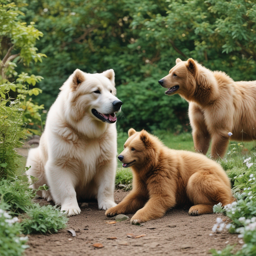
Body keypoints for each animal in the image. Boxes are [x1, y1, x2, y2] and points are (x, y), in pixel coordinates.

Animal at [26, 68, 122, 216]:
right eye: (96, 91)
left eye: (111, 91)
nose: (118, 103)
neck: (85, 132)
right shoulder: (60, 163)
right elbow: (66, 188)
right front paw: (70, 208)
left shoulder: (106, 160)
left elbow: (106, 185)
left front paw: (108, 204)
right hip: (34, 160)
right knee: (40, 187)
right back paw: (48, 195)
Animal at [105, 129, 233, 223]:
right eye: (125, 146)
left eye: (133, 148)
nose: (120, 157)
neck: (151, 165)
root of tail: (225, 176)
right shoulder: (142, 178)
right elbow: (135, 196)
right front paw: (111, 210)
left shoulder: (164, 173)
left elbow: (163, 196)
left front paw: (137, 217)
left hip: (207, 177)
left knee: (203, 186)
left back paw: (196, 208)